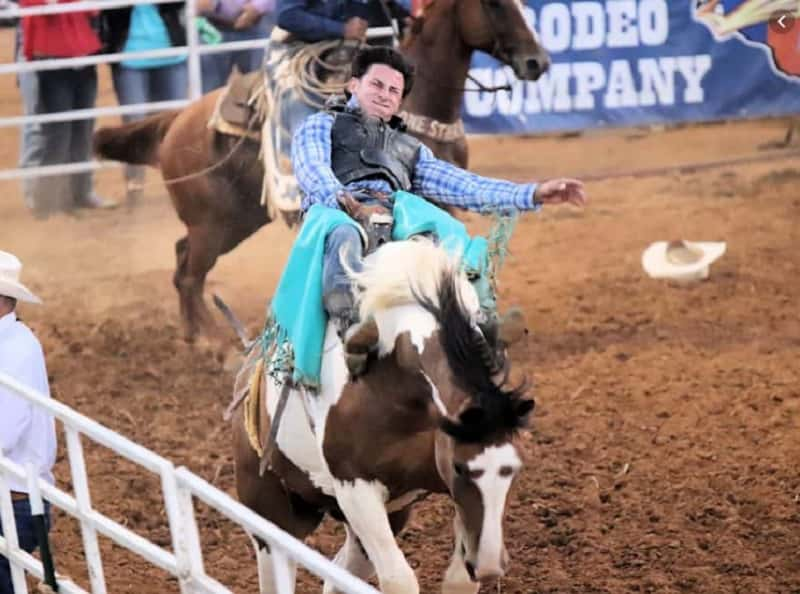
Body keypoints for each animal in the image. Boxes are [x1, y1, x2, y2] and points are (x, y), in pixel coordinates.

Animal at [92, 0, 552, 342]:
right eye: (494, 4)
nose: (538, 62)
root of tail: (178, 119)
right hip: (214, 225)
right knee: (189, 273)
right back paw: (212, 344)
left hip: (233, 222)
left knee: (182, 258)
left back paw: (195, 335)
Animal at [231, 237, 532, 592]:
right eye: (460, 467)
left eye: (515, 469)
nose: (488, 567)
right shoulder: (355, 486)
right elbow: (398, 579)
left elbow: (459, 580)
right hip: (270, 517)